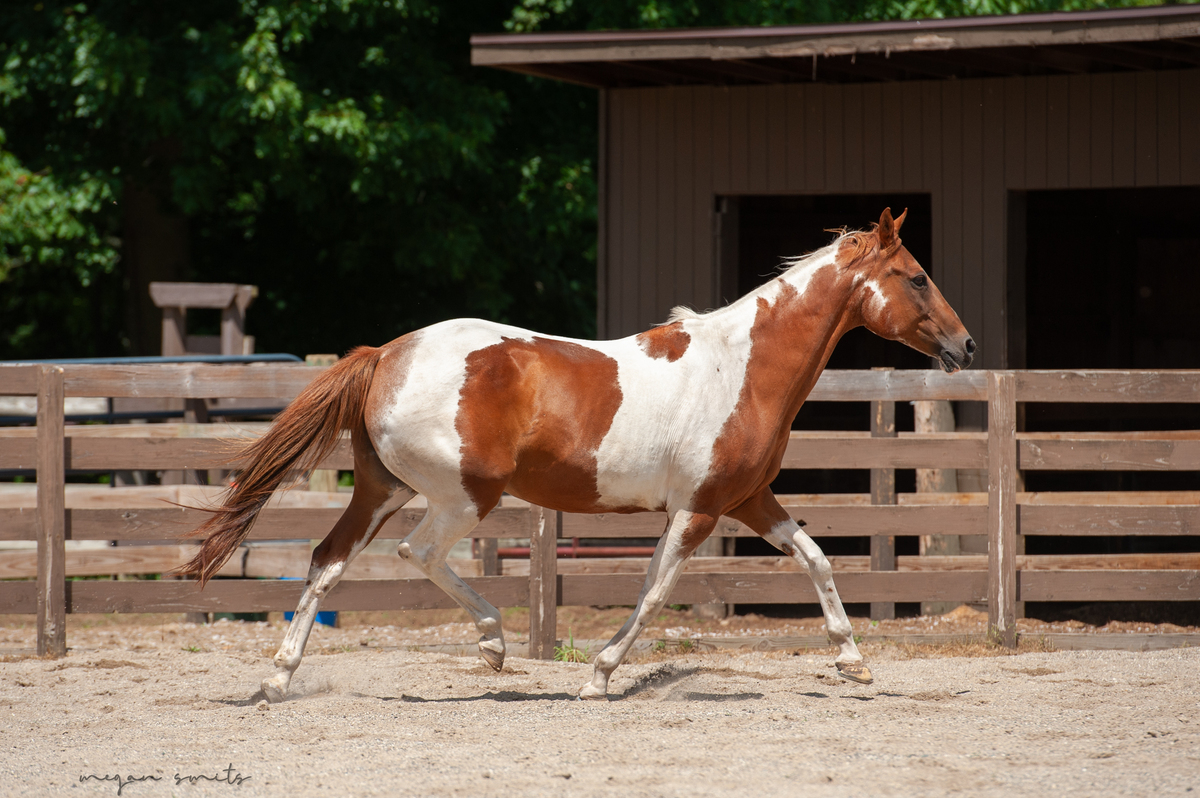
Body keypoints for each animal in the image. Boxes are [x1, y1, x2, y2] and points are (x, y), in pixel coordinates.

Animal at [177, 207, 974, 702]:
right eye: (917, 277)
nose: (966, 346)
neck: (740, 367)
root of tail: (386, 354)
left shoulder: (747, 499)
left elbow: (816, 560)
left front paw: (853, 662)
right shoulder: (700, 510)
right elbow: (654, 592)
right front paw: (599, 674)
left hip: (382, 489)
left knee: (326, 562)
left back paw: (278, 680)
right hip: (462, 496)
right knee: (417, 553)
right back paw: (492, 644)